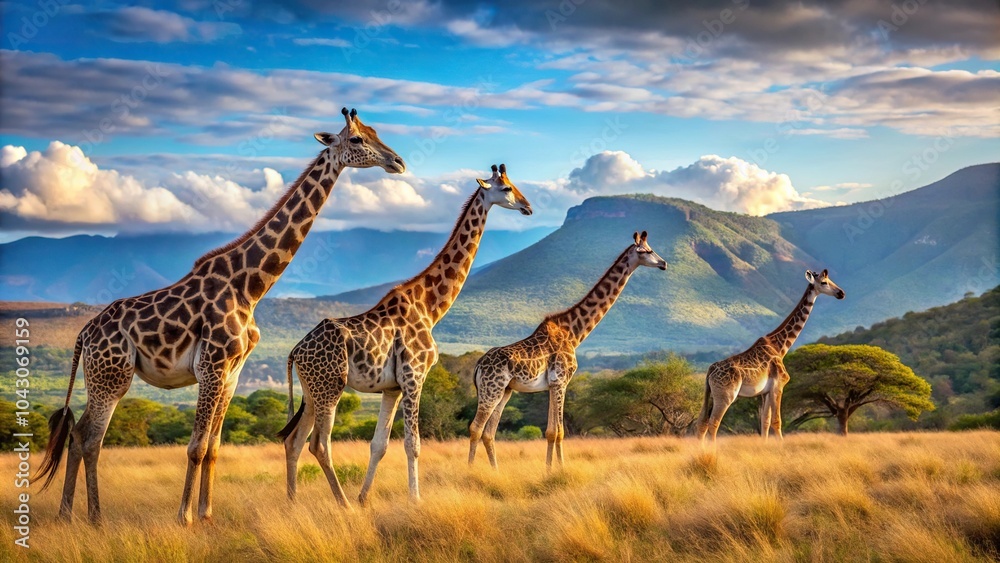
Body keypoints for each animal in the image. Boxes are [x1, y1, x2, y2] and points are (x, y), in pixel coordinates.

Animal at [31, 108, 405, 525]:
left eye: (375, 131)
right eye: (357, 139)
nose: (397, 162)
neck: (250, 286)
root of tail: (84, 333)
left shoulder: (232, 372)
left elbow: (213, 446)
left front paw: (206, 514)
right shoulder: (211, 365)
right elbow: (195, 446)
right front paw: (185, 517)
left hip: (102, 377)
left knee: (77, 435)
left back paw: (67, 514)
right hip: (111, 377)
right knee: (91, 438)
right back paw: (94, 517)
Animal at [279, 163, 533, 507]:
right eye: (505, 188)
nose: (528, 207)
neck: (429, 307)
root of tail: (295, 351)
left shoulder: (392, 388)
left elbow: (379, 445)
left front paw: (364, 498)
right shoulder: (415, 376)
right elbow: (413, 444)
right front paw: (415, 500)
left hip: (310, 390)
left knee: (293, 441)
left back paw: (293, 504)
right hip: (330, 386)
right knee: (318, 443)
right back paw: (343, 505)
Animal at [469, 231, 667, 470]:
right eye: (648, 250)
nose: (664, 264)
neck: (574, 333)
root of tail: (478, 365)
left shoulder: (553, 384)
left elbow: (550, 432)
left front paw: (548, 469)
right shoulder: (562, 381)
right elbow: (560, 432)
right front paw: (561, 470)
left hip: (505, 391)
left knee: (489, 432)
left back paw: (495, 471)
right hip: (492, 390)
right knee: (475, 428)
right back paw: (469, 470)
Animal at [695, 269, 845, 447]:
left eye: (830, 279)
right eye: (823, 282)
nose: (841, 293)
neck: (780, 347)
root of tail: (710, 371)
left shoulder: (765, 392)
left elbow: (765, 422)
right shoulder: (779, 385)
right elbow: (777, 421)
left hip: (710, 394)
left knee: (702, 423)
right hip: (726, 396)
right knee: (714, 423)